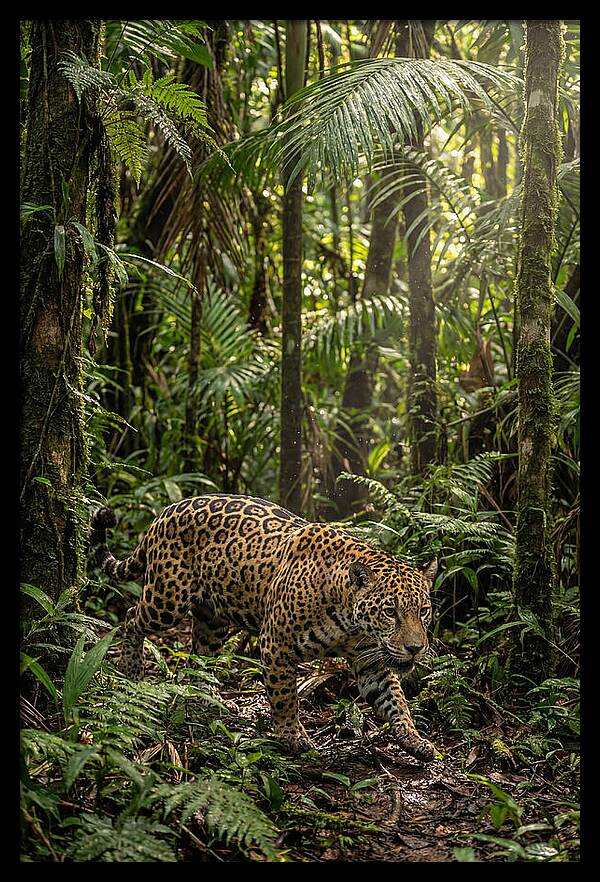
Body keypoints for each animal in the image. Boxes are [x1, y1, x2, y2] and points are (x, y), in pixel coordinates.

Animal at [89, 493, 439, 761]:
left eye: (423, 611)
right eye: (391, 611)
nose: (415, 648)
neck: (349, 620)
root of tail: (165, 511)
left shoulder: (371, 661)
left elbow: (395, 699)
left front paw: (415, 740)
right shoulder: (277, 645)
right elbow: (285, 697)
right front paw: (293, 738)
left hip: (212, 620)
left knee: (200, 655)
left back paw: (207, 697)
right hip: (167, 599)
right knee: (131, 617)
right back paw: (132, 670)